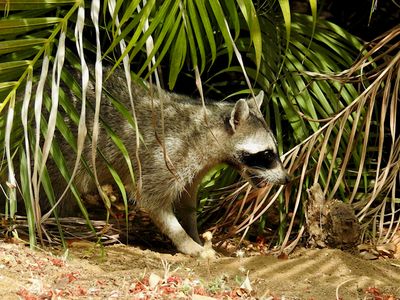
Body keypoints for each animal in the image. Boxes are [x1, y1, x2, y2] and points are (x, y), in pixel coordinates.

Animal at [3, 67, 290, 256]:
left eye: (274, 151)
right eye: (267, 155)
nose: (287, 179)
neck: (205, 129)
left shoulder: (194, 168)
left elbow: (186, 203)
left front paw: (194, 233)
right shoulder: (167, 155)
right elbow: (153, 201)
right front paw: (187, 243)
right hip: (53, 147)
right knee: (55, 188)